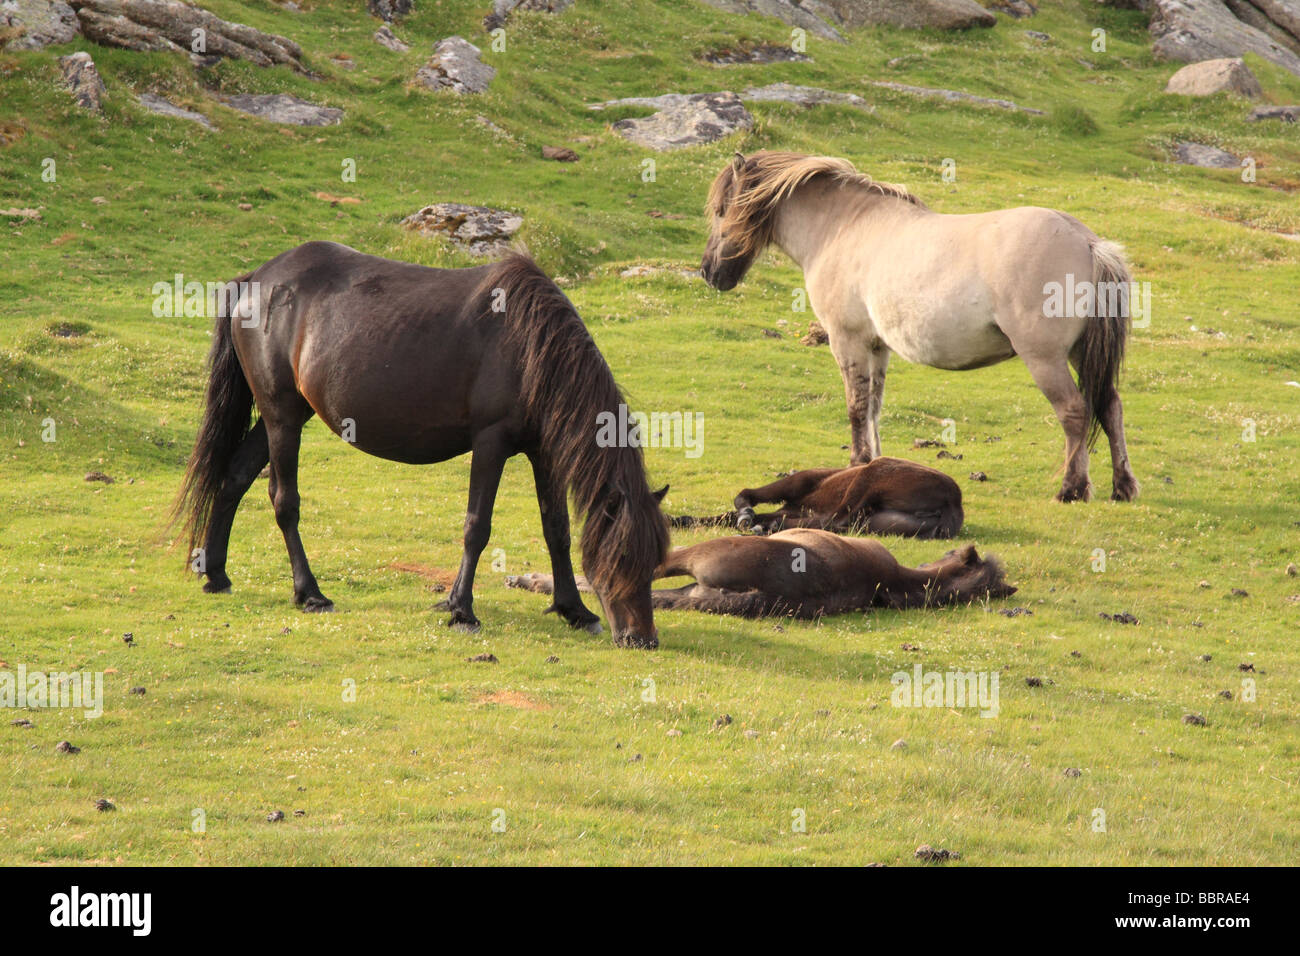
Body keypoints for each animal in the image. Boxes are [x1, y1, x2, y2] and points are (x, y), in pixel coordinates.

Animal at [172, 241, 670, 648]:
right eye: (624, 556)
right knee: (283, 500)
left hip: (285, 415)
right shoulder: (490, 443)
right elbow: (477, 527)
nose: (642, 639)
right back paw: (309, 593)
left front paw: (575, 610)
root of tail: (254, 279)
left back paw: (217, 573)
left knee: (234, 476)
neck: (530, 345)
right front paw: (461, 609)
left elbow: (557, 530)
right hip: (282, 417)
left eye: (656, 560)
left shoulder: (543, 452)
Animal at [669, 457, 963, 538]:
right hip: (876, 522)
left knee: (836, 520)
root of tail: (953, 503)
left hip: (873, 475)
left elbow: (744, 497)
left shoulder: (796, 484)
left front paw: (747, 516)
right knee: (838, 523)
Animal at [700, 151, 1139, 504]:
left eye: (721, 210)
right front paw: (873, 464)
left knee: (1074, 412)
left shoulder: (847, 341)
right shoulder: (877, 347)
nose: (709, 272)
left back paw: (1072, 489)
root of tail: (1089, 243)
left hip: (1045, 358)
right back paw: (1123, 486)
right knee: (1110, 406)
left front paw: (856, 463)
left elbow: (856, 407)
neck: (842, 228)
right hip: (1080, 353)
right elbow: (873, 408)